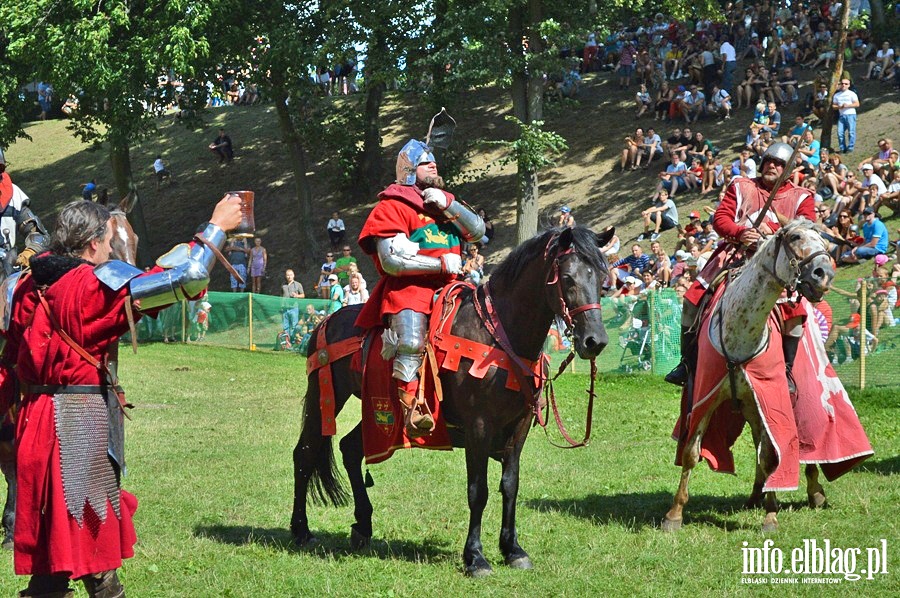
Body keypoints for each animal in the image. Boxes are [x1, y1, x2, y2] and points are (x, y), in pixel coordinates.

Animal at [292, 227, 616, 580]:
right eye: (568, 278)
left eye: (602, 278)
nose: (595, 341)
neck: (501, 335)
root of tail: (327, 320)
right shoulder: (478, 427)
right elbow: (478, 491)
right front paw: (475, 557)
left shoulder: (519, 427)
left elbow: (510, 485)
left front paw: (513, 549)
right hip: (327, 397)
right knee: (305, 454)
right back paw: (301, 529)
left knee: (350, 448)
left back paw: (362, 526)